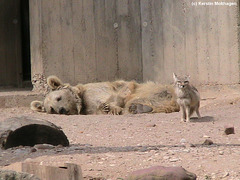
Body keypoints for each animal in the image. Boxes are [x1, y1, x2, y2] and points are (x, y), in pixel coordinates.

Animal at [31, 75, 179, 114]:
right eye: (51, 109)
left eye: (59, 97)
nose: (61, 110)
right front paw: (110, 109)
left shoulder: (98, 90)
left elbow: (113, 98)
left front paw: (111, 107)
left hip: (153, 89)